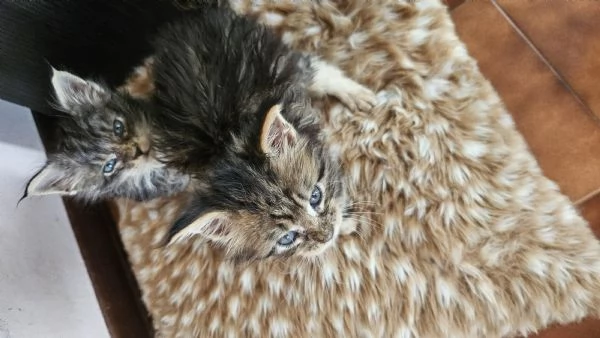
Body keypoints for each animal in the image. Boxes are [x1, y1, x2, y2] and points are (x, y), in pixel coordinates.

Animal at [144, 8, 376, 262]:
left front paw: (344, 220)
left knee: (310, 66)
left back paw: (354, 93)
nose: (327, 235)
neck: (226, 142)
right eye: (287, 238)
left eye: (315, 197)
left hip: (268, 56)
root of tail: (186, 19)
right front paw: (342, 226)